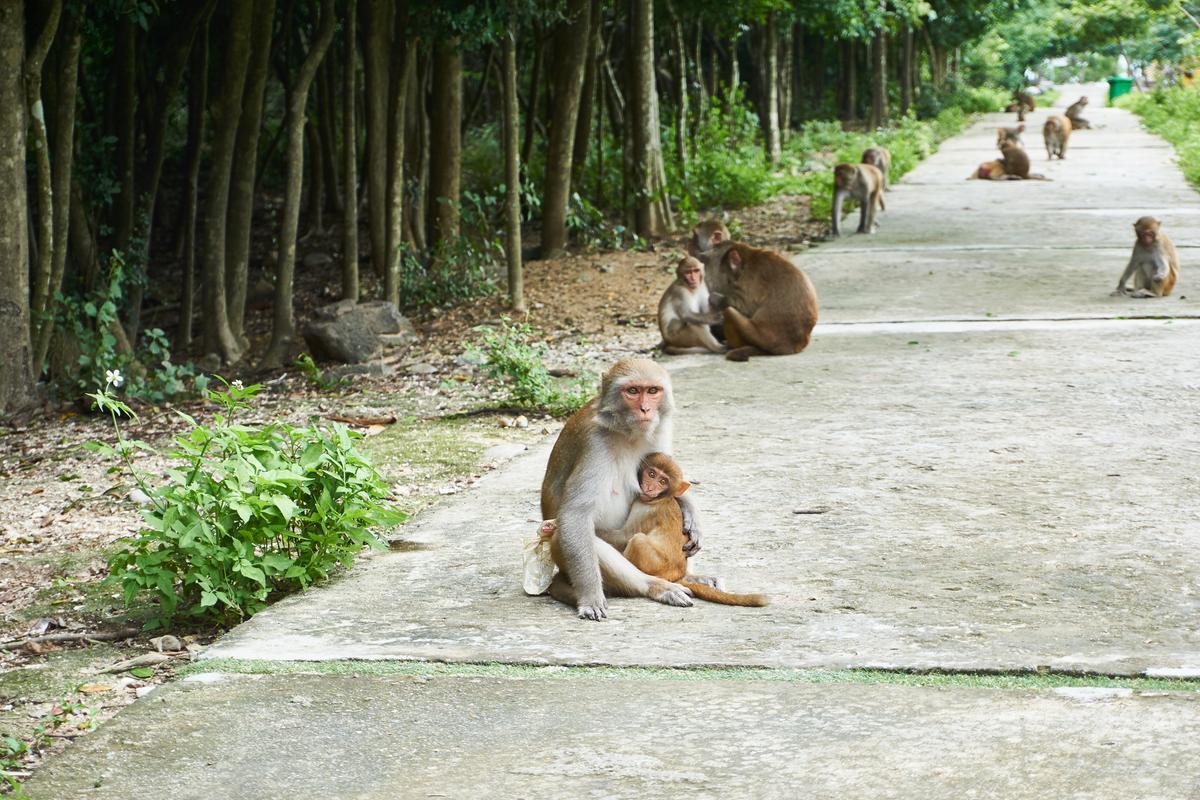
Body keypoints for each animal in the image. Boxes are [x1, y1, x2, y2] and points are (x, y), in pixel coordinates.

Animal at [539, 358, 702, 620]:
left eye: (653, 390)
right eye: (633, 391)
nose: (645, 409)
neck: (626, 432)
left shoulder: (659, 431)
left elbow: (675, 484)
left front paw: (691, 513)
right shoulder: (595, 443)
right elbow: (575, 516)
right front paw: (591, 597)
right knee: (575, 537)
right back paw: (655, 586)